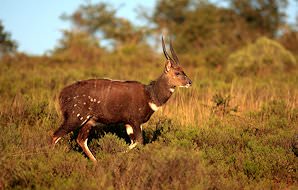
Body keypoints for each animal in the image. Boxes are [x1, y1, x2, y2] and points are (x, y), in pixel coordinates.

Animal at [51, 36, 192, 162]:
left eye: (183, 71)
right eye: (177, 73)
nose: (190, 82)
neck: (149, 95)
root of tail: (62, 94)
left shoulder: (129, 123)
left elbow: (134, 142)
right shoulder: (135, 121)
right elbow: (139, 141)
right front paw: (115, 156)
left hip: (89, 121)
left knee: (81, 140)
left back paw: (96, 163)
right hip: (76, 117)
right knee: (55, 135)